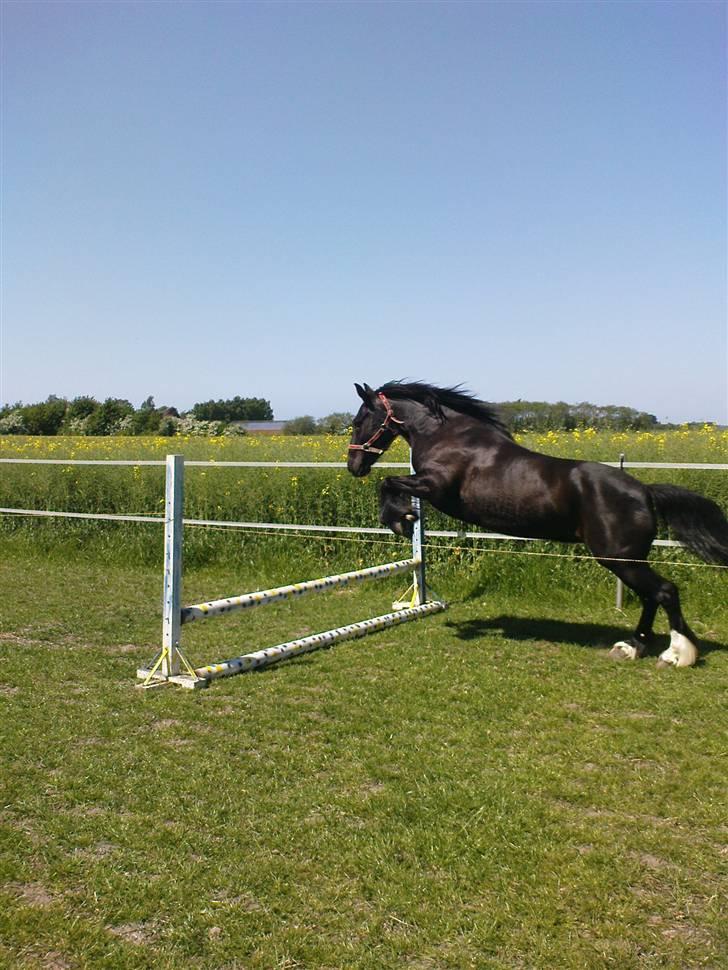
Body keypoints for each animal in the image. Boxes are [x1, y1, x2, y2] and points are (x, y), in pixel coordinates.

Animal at [347, 381, 728, 668]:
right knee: (651, 596)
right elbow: (392, 484)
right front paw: (405, 518)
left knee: (664, 591)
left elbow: (389, 483)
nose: (354, 465)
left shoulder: (434, 487)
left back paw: (675, 655)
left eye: (360, 419)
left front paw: (400, 520)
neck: (448, 436)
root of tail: (645, 492)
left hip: (619, 558)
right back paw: (631, 648)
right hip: (627, 560)